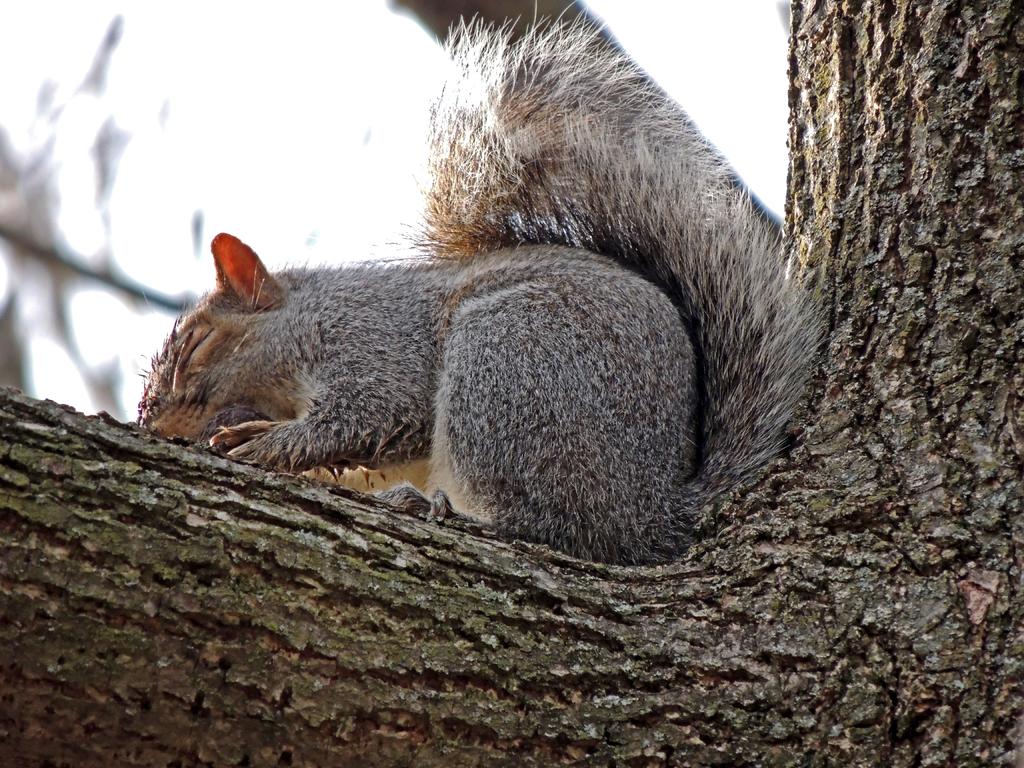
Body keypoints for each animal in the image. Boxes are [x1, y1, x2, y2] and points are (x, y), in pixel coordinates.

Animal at [138, 21, 820, 565]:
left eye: (196, 346)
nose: (154, 424)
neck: (311, 322)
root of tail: (653, 511)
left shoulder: (374, 342)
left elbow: (372, 412)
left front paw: (268, 442)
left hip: (507, 362)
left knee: (548, 529)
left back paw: (440, 509)